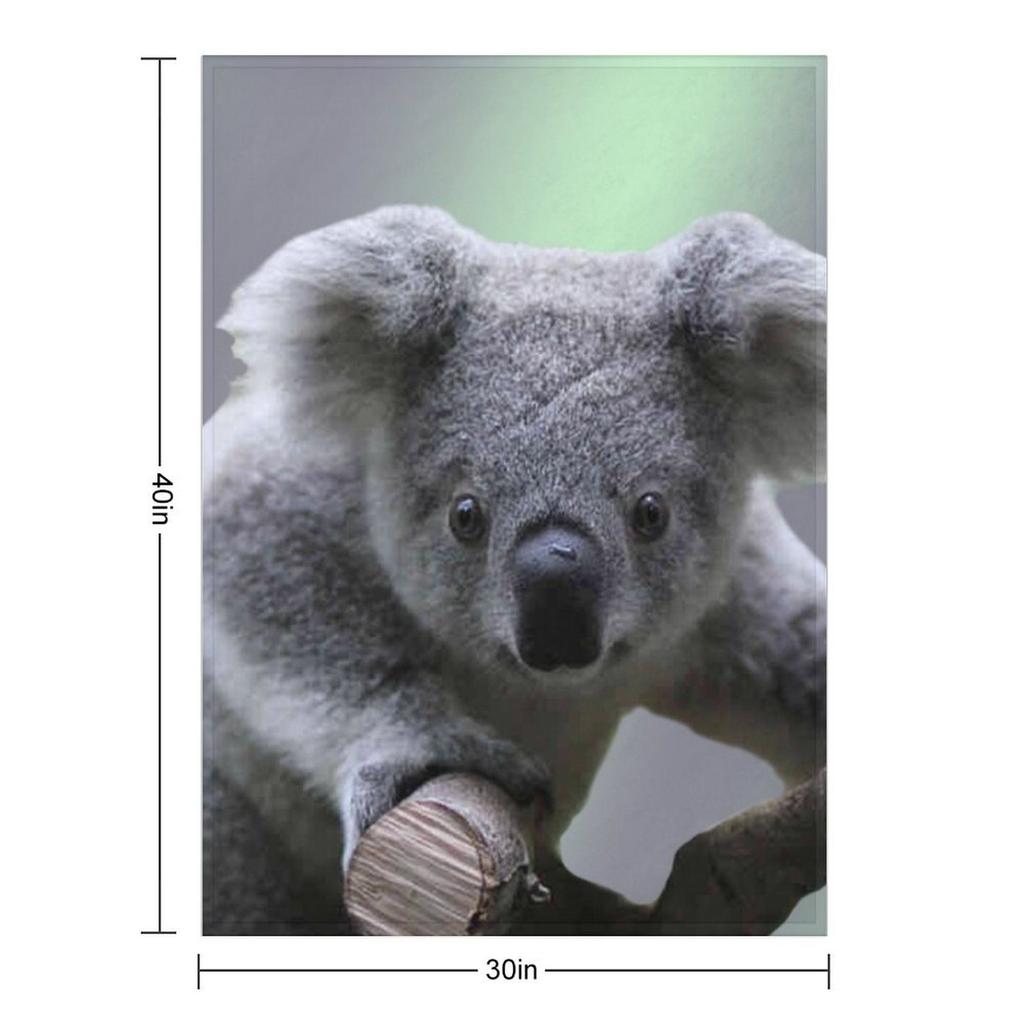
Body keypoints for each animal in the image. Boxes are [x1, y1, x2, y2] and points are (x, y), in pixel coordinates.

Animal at [203, 205, 826, 934]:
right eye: (465, 514)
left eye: (651, 512)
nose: (557, 617)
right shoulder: (292, 495)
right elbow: (266, 569)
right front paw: (423, 752)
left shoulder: (732, 603)